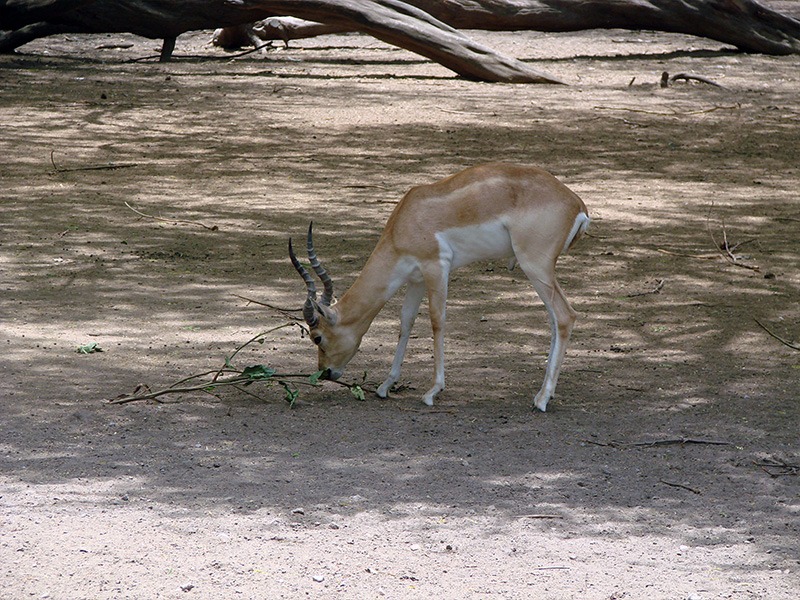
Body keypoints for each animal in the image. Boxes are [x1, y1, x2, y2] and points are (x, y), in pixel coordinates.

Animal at [290, 162, 592, 410]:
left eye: (317, 337)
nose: (325, 372)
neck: (407, 220)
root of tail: (577, 204)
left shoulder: (436, 267)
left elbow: (437, 321)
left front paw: (433, 391)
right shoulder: (415, 279)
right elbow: (406, 322)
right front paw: (386, 385)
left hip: (535, 266)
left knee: (565, 316)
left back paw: (542, 400)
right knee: (554, 321)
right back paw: (545, 393)